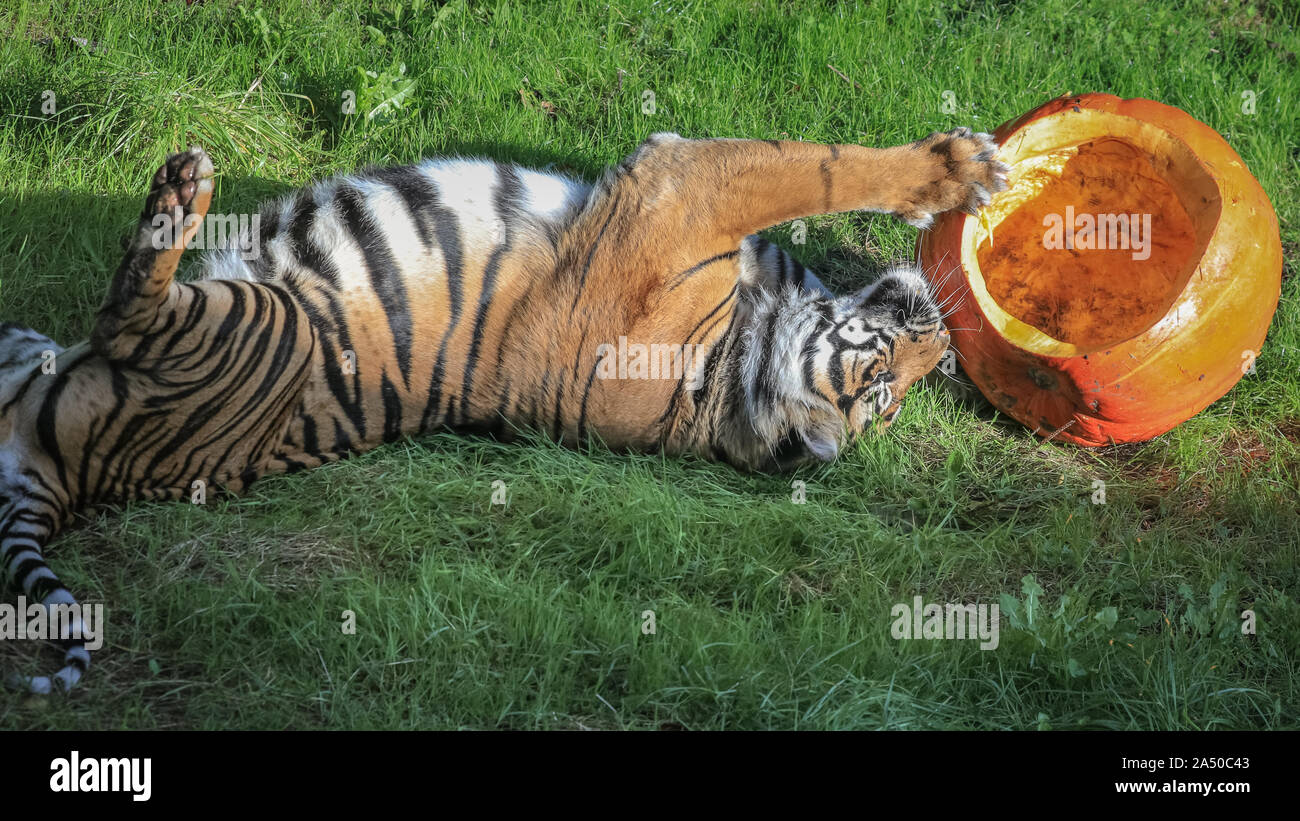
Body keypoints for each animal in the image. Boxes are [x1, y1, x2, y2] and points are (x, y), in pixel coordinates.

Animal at [0, 128, 1003, 691]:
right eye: (887, 387)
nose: (946, 347)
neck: (733, 374)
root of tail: (70, 475)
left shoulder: (678, 191)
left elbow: (814, 170)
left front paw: (961, 167)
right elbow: (811, 174)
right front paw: (966, 170)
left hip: (251, 323)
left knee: (128, 309)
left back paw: (183, 187)